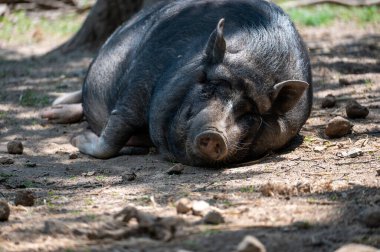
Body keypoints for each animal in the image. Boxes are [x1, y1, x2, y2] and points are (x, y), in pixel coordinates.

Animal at [41, 0, 312, 167]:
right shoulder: (140, 80)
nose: (214, 134)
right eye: (208, 88)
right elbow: (113, 135)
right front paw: (75, 139)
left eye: (251, 113)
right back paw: (51, 109)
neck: (255, 63)